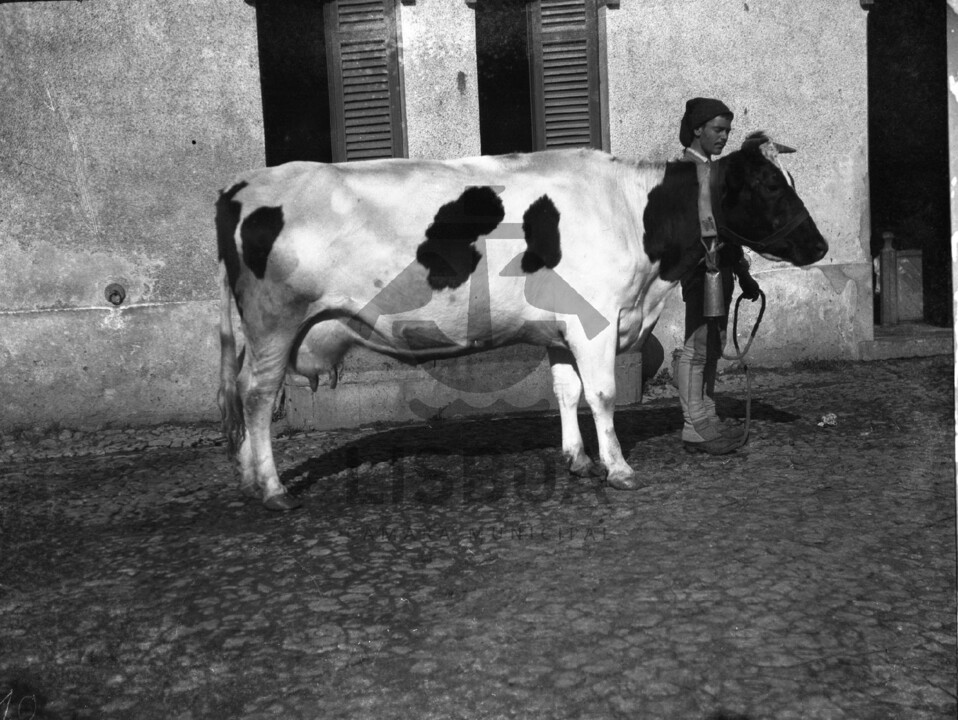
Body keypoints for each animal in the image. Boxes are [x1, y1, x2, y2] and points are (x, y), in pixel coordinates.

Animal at [216, 139, 828, 510]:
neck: (634, 215)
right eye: (771, 186)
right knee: (257, 395)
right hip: (274, 322)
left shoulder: (560, 327)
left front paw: (577, 459)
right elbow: (602, 394)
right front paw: (618, 467)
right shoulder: (596, 320)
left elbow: (565, 391)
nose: (820, 245)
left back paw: (247, 477)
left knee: (243, 391)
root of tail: (238, 186)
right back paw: (271, 488)